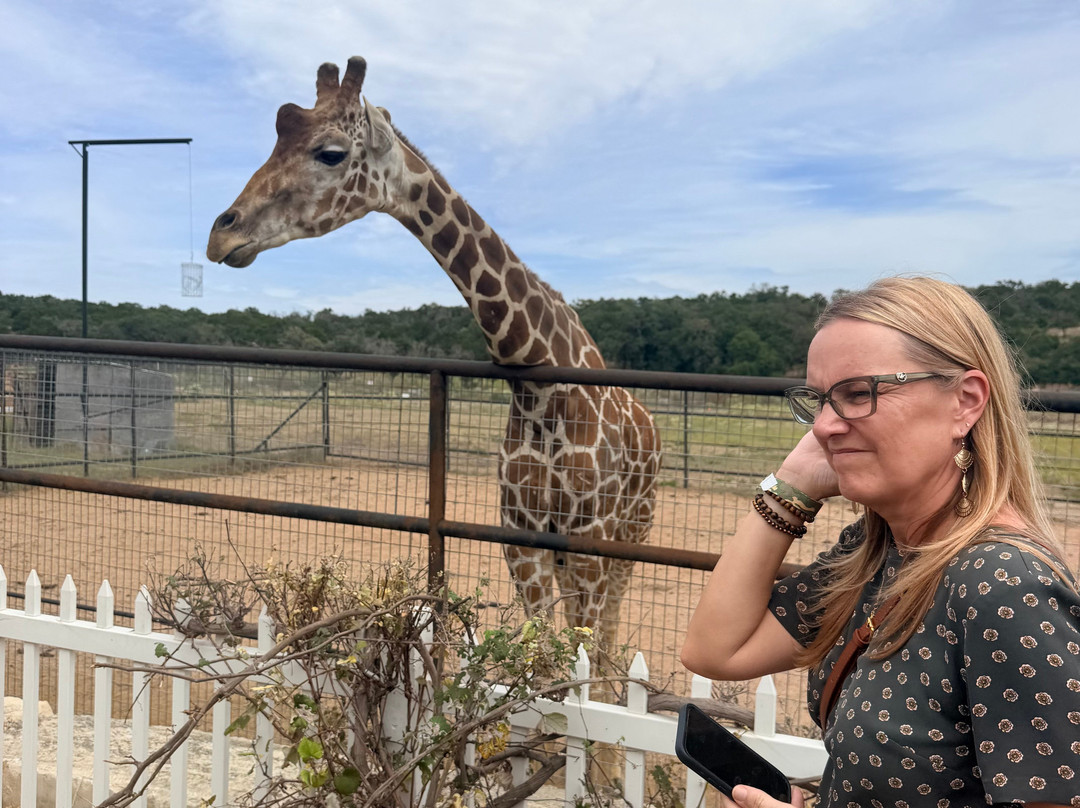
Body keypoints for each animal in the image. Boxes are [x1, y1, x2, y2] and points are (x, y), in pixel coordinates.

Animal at [207, 57, 661, 650]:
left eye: (330, 153)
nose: (221, 233)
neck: (539, 385)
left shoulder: (589, 538)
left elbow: (580, 662)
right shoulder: (522, 540)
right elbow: (543, 658)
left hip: (632, 534)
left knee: (608, 643)